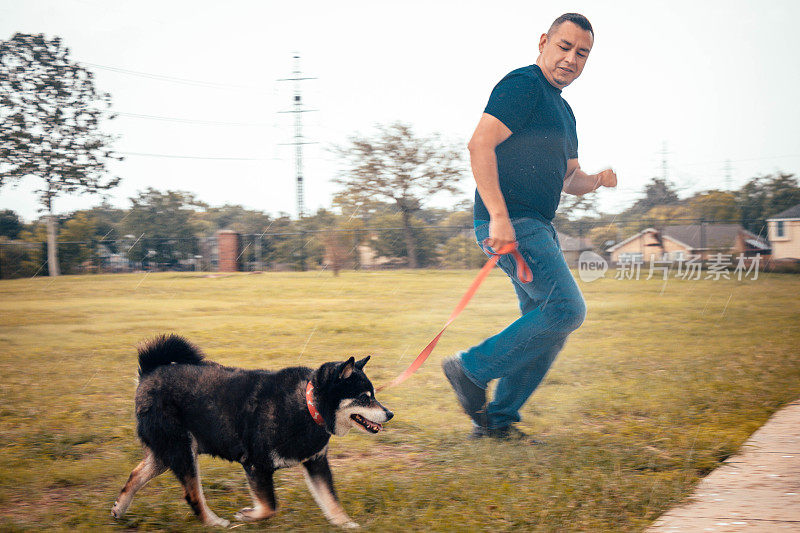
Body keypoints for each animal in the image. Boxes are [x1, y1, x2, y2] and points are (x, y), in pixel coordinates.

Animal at [110, 334, 394, 524]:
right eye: (364, 397)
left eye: (373, 395)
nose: (390, 413)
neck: (307, 406)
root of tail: (149, 372)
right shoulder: (256, 464)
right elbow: (270, 506)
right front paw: (248, 515)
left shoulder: (316, 463)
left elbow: (331, 501)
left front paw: (346, 524)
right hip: (181, 451)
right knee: (192, 495)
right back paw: (215, 523)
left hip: (168, 452)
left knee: (136, 475)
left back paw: (118, 509)